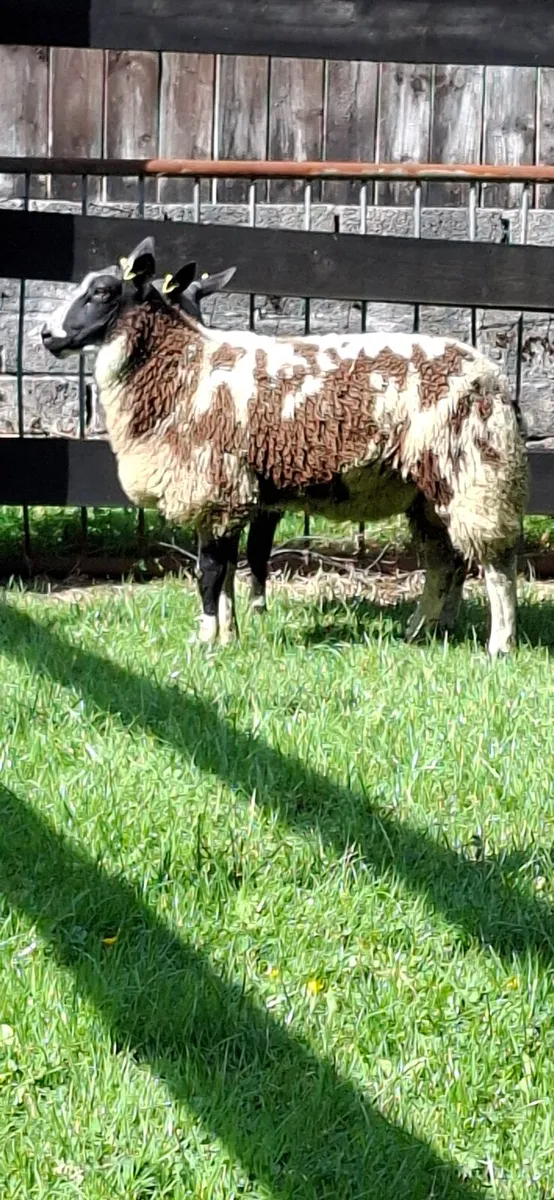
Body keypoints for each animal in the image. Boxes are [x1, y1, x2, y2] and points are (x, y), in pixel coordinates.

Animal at [41, 236, 528, 657]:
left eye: (102, 292)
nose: (46, 335)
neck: (181, 369)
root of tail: (494, 378)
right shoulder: (229, 492)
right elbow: (227, 569)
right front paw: (229, 634)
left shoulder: (216, 486)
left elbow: (209, 572)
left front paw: (206, 639)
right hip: (427, 488)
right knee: (446, 560)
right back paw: (426, 629)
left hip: (475, 471)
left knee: (496, 562)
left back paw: (498, 645)